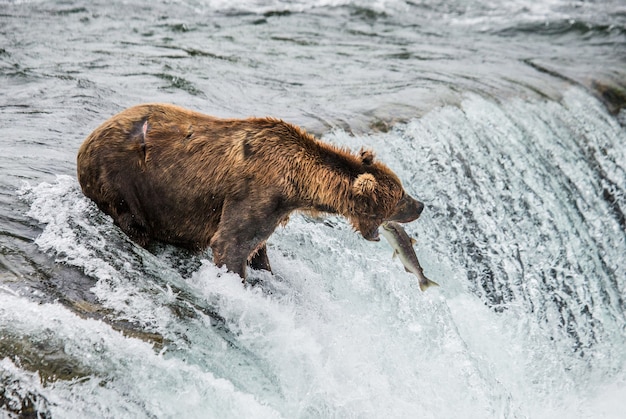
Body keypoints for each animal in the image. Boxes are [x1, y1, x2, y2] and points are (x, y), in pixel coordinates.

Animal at [75, 104, 422, 280]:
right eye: (400, 194)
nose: (420, 205)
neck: (297, 182)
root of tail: (85, 142)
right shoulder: (257, 193)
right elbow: (232, 243)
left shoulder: (274, 208)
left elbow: (257, 248)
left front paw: (263, 268)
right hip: (123, 179)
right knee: (133, 221)